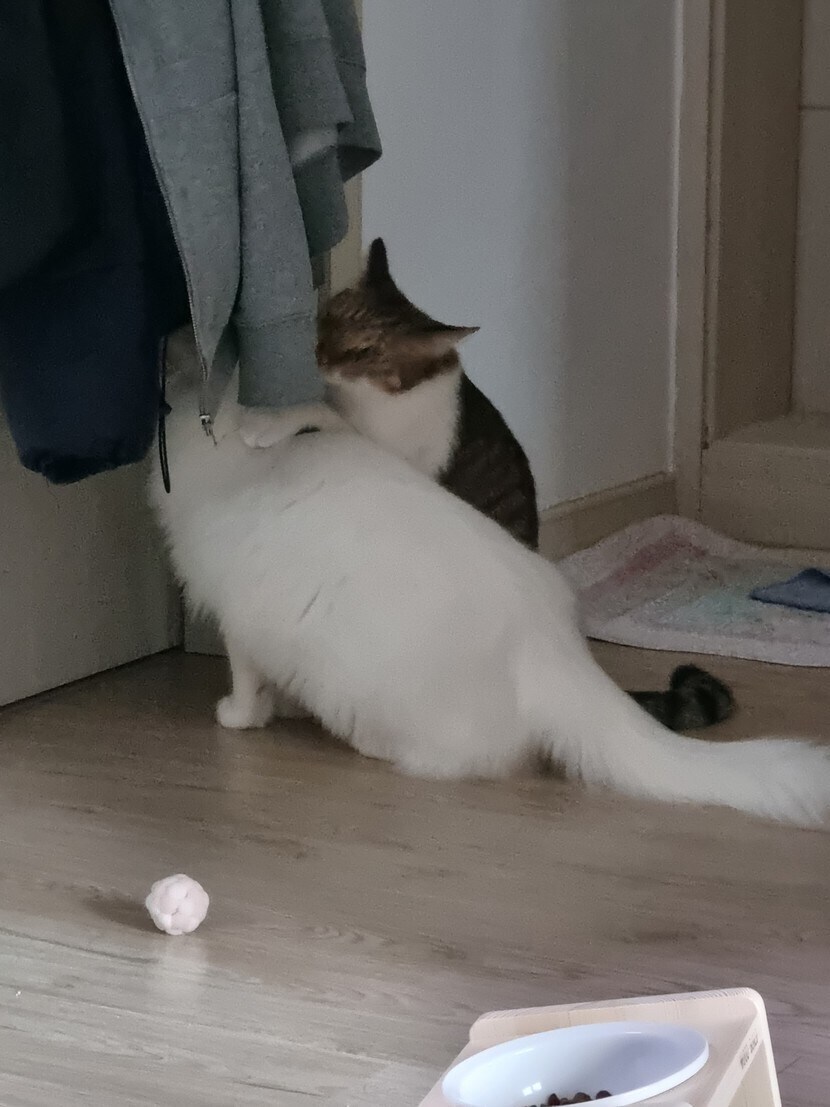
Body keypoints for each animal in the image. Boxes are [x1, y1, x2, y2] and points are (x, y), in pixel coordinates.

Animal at [148, 371, 830, 824]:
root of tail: (552, 645)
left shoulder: (237, 617)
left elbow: (245, 681)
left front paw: (240, 716)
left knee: (474, 759)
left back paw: (374, 746)